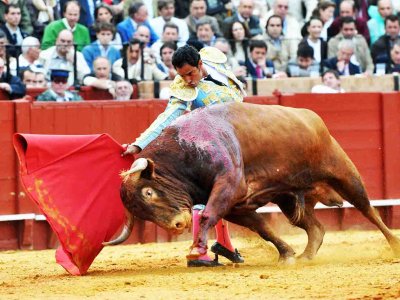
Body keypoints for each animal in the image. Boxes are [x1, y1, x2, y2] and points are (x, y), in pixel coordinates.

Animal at [104, 103, 400, 262]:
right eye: (141, 212)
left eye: (149, 192)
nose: (177, 226)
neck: (183, 152)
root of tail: (312, 116)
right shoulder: (237, 206)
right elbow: (262, 228)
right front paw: (286, 255)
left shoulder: (229, 184)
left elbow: (209, 214)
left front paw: (196, 249)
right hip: (289, 199)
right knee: (315, 227)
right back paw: (305, 256)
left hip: (342, 171)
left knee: (367, 208)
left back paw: (394, 245)